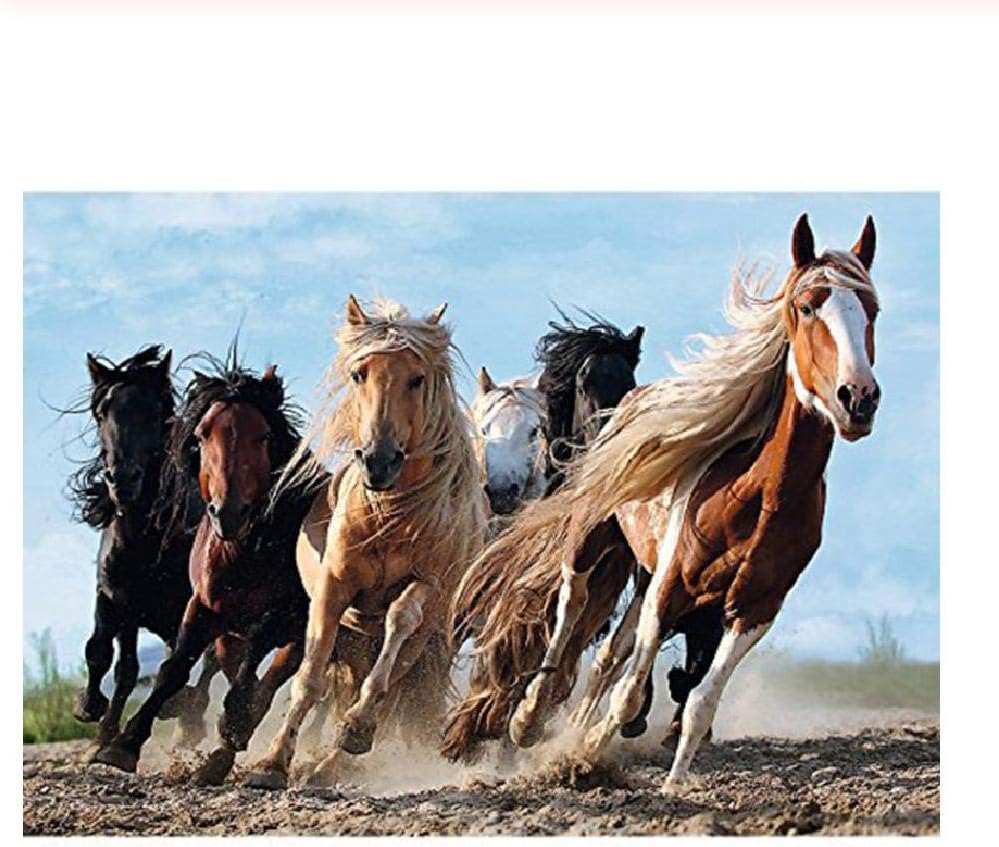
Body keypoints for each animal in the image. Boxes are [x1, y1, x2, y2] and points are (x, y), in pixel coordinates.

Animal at [68, 346, 217, 752]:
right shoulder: (116, 599)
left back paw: (188, 719)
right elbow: (107, 656)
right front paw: (94, 716)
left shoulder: (188, 607)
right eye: (102, 411)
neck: (145, 542)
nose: (122, 479)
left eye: (155, 412)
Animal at [91, 353, 320, 785]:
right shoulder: (199, 607)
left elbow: (250, 676)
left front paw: (229, 727)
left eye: (263, 436)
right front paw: (122, 745)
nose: (226, 512)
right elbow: (171, 669)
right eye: (201, 435)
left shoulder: (278, 618)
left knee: (268, 685)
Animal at [243, 296, 488, 790]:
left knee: (389, 687)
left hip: (426, 639)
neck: (389, 516)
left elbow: (399, 624)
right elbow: (310, 678)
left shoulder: (427, 587)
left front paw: (354, 729)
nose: (379, 461)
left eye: (417, 378)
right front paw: (271, 763)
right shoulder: (333, 589)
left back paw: (338, 756)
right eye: (360, 374)